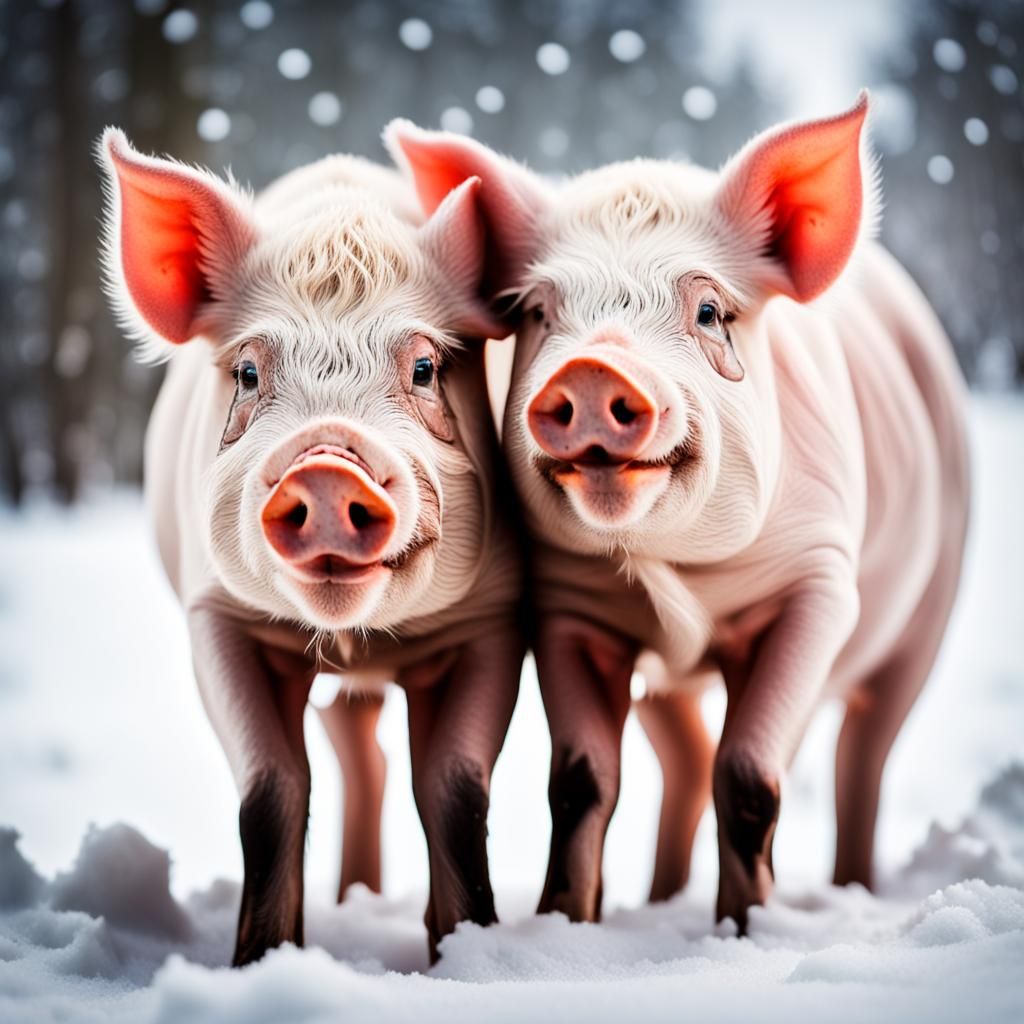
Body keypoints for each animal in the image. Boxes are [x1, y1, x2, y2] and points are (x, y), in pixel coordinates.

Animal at [97, 130, 525, 965]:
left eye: (425, 367)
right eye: (248, 371)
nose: (326, 465)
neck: (355, 637)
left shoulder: (491, 621)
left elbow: (454, 787)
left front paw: (466, 957)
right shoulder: (216, 617)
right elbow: (271, 788)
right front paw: (260, 964)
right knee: (356, 748)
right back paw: (352, 899)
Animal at [386, 91, 970, 931]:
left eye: (710, 310)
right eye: (537, 313)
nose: (592, 367)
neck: (678, 582)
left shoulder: (821, 585)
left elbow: (752, 774)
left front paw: (742, 931)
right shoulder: (570, 610)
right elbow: (581, 779)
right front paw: (566, 923)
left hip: (927, 616)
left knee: (860, 755)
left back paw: (850, 889)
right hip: (673, 681)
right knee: (689, 758)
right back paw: (661, 901)